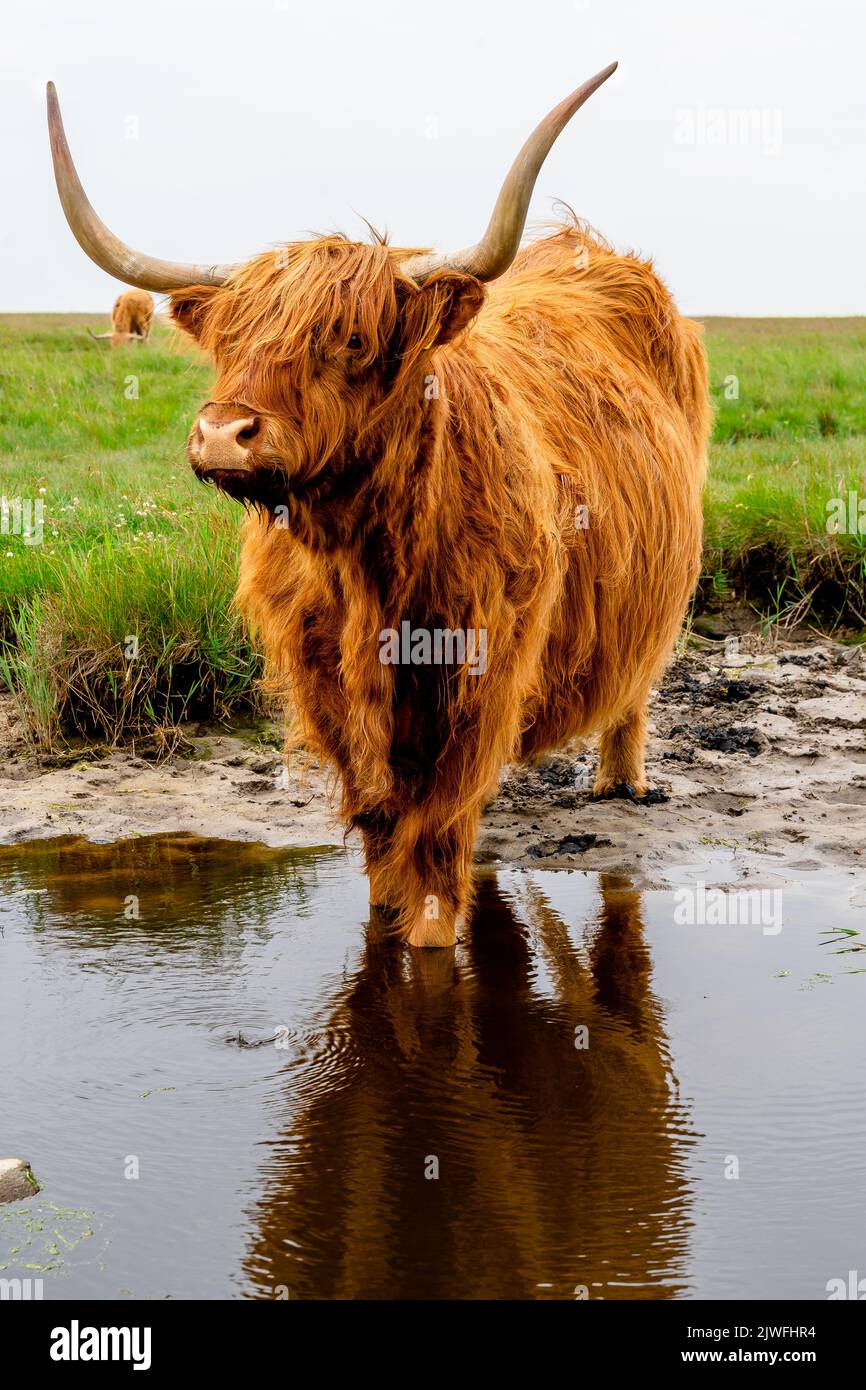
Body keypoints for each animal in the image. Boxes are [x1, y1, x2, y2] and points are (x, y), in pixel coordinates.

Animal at [47, 65, 711, 948]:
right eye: (229, 341)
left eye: (353, 342)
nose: (223, 433)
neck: (365, 566)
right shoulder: (322, 679)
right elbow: (378, 830)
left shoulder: (477, 673)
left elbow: (433, 842)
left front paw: (427, 936)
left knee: (634, 683)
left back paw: (620, 781)